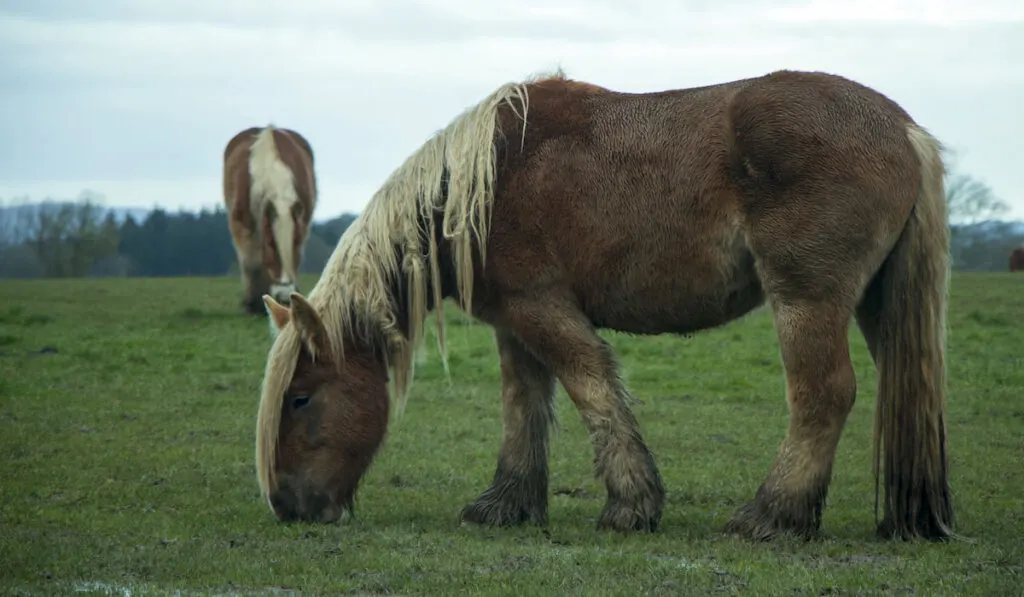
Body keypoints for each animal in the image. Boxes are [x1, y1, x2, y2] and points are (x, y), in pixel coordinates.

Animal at [223, 124, 315, 315]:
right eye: (270, 245)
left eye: (295, 243)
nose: (284, 295)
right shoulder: (242, 226)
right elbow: (250, 262)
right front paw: (252, 304)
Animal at [251, 67, 954, 544]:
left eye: (301, 399)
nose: (287, 507)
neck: (486, 183)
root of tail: (901, 127)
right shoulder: (514, 325)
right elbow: (523, 407)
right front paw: (507, 504)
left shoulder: (544, 310)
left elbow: (591, 388)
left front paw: (630, 505)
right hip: (874, 303)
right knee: (906, 387)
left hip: (806, 299)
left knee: (824, 395)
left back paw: (772, 514)